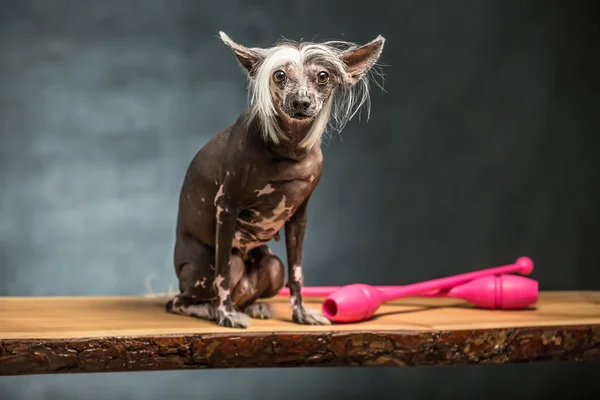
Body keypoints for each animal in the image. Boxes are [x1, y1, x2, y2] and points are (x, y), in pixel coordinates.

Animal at [166, 29, 386, 326]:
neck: (289, 150)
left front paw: (301, 313)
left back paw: (253, 306)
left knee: (261, 281)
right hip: (204, 275)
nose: (301, 101)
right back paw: (213, 310)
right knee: (183, 299)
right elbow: (223, 272)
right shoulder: (226, 208)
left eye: (323, 76)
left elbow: (297, 273)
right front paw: (225, 314)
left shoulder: (299, 218)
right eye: (279, 75)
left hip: (273, 267)